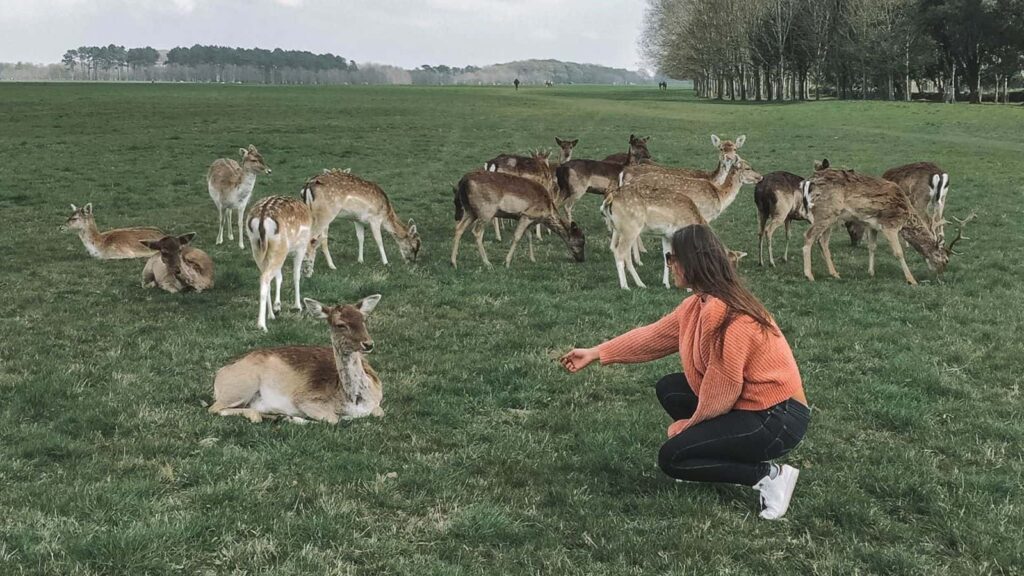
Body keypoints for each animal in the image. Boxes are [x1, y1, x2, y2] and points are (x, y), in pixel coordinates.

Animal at [209, 295, 385, 422]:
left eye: (363, 319)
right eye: (340, 324)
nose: (368, 344)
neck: (354, 401)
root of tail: (219, 375)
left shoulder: (378, 402)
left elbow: (379, 412)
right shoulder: (305, 399)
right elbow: (333, 419)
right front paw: (294, 418)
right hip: (241, 387)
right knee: (215, 409)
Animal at [243, 194, 315, 330]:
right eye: (313, 258)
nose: (310, 273)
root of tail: (262, 218)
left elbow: (279, 277)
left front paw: (277, 306)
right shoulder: (300, 247)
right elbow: (295, 275)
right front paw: (298, 306)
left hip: (257, 247)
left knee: (265, 276)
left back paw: (271, 315)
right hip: (281, 246)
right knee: (265, 277)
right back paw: (261, 325)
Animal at [454, 169, 589, 268]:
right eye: (581, 241)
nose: (582, 259)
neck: (547, 211)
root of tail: (463, 181)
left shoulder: (528, 219)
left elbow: (529, 236)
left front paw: (533, 259)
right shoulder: (527, 215)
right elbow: (517, 237)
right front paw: (507, 262)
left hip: (469, 210)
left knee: (459, 228)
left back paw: (453, 262)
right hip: (486, 210)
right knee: (476, 232)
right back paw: (487, 263)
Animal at [602, 156, 765, 289]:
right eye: (748, 167)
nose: (761, 177)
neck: (719, 196)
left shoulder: (667, 234)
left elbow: (667, 255)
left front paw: (667, 283)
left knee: (621, 249)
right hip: (632, 226)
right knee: (621, 251)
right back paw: (629, 284)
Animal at [798, 162, 974, 282]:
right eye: (945, 259)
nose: (940, 274)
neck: (905, 213)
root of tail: (808, 182)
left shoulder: (872, 225)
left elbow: (872, 247)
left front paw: (871, 272)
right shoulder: (890, 225)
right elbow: (898, 253)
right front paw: (911, 279)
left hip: (832, 217)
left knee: (823, 241)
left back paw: (835, 273)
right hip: (825, 211)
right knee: (808, 235)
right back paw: (809, 275)